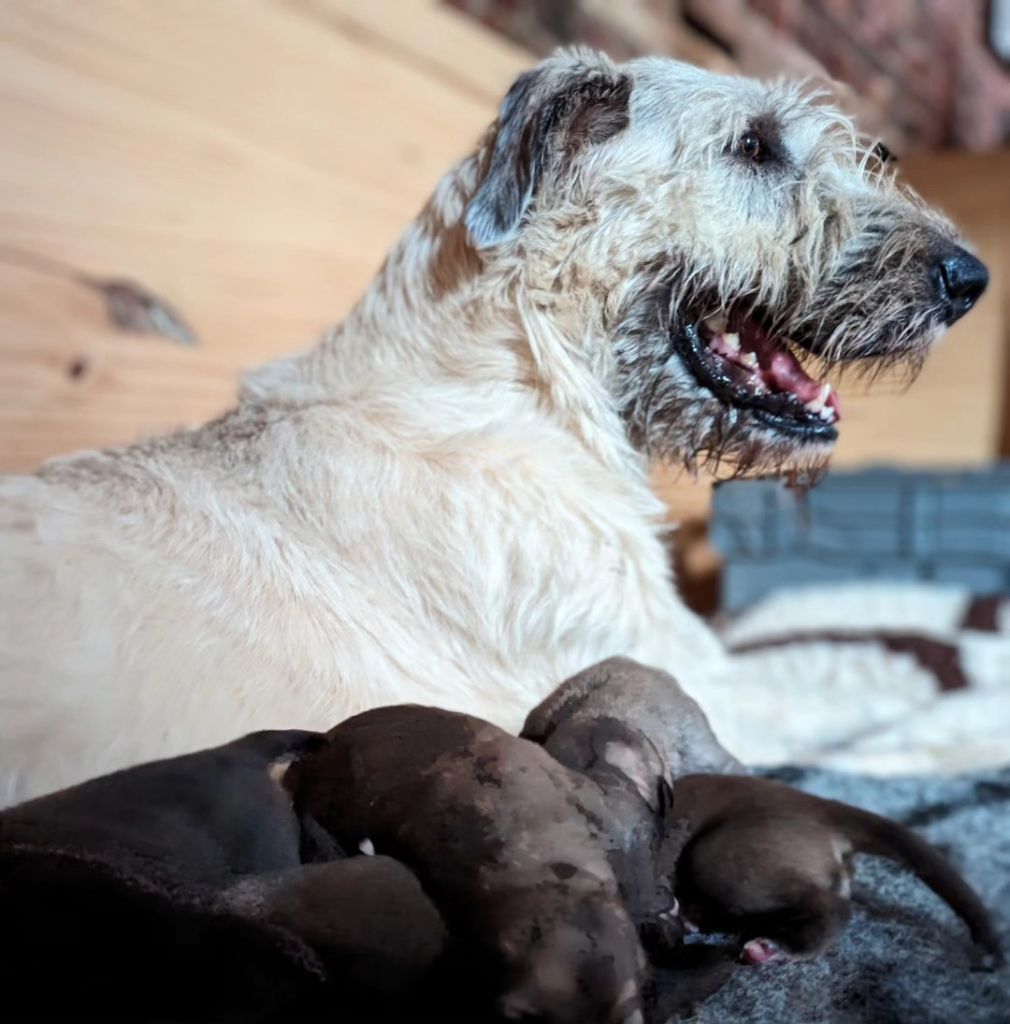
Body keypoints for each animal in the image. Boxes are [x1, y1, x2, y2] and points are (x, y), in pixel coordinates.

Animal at [0, 48, 983, 802]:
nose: (970, 279)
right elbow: (833, 673)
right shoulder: (682, 674)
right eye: (754, 147)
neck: (521, 376)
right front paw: (949, 688)